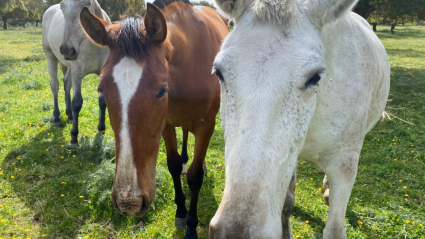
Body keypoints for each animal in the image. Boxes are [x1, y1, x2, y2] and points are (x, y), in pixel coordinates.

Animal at [41, 0, 109, 146]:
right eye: (62, 6)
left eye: (86, 4)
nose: (67, 50)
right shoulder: (78, 73)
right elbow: (77, 102)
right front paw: (73, 137)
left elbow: (102, 101)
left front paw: (101, 128)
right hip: (50, 56)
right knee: (55, 85)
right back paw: (56, 118)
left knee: (66, 83)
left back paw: (70, 115)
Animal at [78, 0, 227, 238]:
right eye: (101, 88)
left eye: (161, 90)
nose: (129, 202)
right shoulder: (166, 125)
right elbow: (173, 165)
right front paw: (180, 212)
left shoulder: (206, 126)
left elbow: (195, 178)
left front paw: (191, 226)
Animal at [208, 0, 388, 238]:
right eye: (218, 72)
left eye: (315, 77)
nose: (236, 232)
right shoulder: (288, 160)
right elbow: (287, 203)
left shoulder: (343, 164)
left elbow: (335, 228)